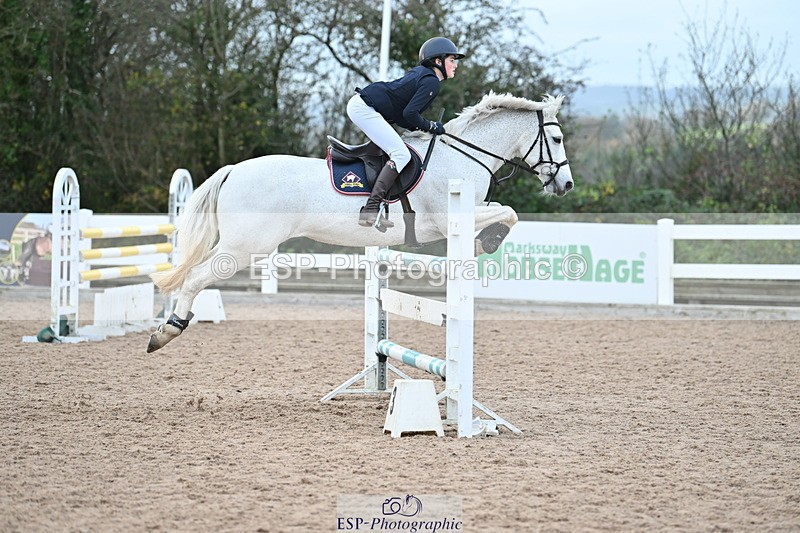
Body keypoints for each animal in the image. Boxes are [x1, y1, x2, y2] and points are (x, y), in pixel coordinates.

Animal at [147, 92, 574, 352]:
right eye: (555, 139)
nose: (566, 185)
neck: (463, 156)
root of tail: (234, 170)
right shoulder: (449, 216)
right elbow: (508, 213)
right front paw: (488, 240)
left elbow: (504, 210)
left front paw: (483, 240)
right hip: (244, 248)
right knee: (195, 278)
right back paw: (167, 330)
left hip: (239, 245)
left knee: (192, 274)